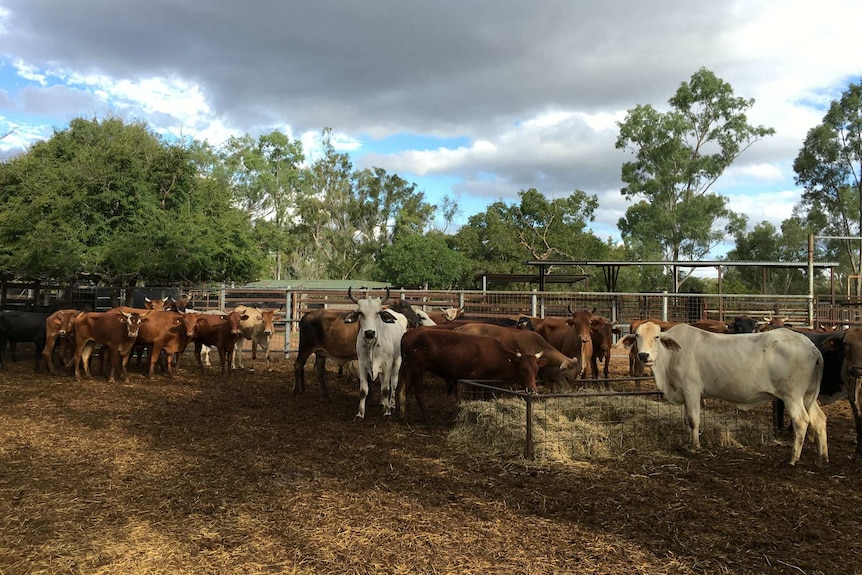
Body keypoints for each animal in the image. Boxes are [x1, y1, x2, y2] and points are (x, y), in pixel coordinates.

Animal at [344, 288, 408, 418]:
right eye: (361, 313)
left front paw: (387, 412)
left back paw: (391, 404)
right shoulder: (362, 365)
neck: (372, 345)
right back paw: (382, 402)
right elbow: (363, 390)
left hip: (397, 361)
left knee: (393, 383)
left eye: (377, 313)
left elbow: (386, 389)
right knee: (383, 381)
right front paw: (360, 414)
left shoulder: (387, 364)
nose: (369, 333)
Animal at [398, 328, 548, 424]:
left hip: (409, 368)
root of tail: (408, 333)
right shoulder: (476, 379)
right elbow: (476, 397)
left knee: (403, 389)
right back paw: (427, 419)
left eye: (537, 369)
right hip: (418, 369)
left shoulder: (487, 382)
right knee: (418, 392)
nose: (532, 390)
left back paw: (403, 417)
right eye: (523, 368)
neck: (496, 356)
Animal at [616, 322, 832, 466]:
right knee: (819, 419)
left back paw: (793, 459)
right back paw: (822, 458)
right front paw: (687, 443)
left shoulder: (691, 388)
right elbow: (687, 420)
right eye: (636, 336)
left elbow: (693, 419)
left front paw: (694, 447)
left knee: (801, 421)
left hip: (792, 395)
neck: (670, 359)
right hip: (807, 396)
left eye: (657, 337)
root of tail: (811, 347)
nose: (643, 355)